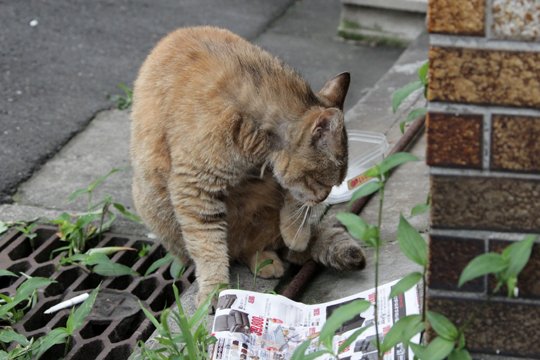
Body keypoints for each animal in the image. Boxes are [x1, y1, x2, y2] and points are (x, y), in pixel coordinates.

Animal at [131, 26, 368, 304]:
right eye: (322, 182)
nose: (323, 199)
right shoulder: (196, 191)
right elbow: (208, 247)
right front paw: (214, 291)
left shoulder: (279, 178)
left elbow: (293, 200)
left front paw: (295, 233)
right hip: (158, 208)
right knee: (233, 251)